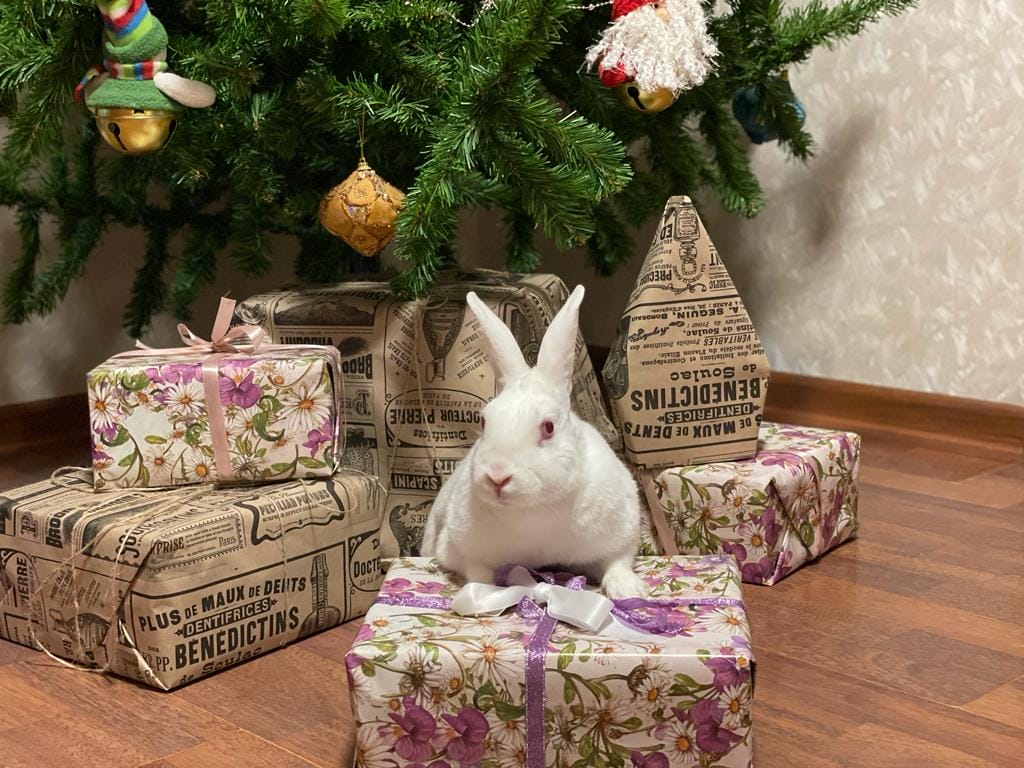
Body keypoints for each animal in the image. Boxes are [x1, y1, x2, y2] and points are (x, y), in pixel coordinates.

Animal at [420, 285, 645, 599]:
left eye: (548, 428)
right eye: (484, 422)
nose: (497, 476)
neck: (535, 509)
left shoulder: (621, 533)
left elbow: (618, 561)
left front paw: (629, 591)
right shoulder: (459, 548)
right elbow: (477, 571)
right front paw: (482, 595)